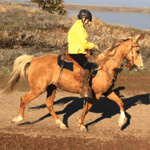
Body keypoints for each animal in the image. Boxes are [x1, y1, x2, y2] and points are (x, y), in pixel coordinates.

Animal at [4, 34, 143, 131]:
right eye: (137, 51)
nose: (141, 67)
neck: (105, 66)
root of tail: (34, 59)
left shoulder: (107, 91)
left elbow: (120, 102)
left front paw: (121, 122)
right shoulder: (96, 95)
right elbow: (87, 109)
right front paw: (81, 125)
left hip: (51, 88)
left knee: (49, 104)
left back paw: (61, 124)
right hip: (37, 89)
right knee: (24, 99)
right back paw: (18, 118)